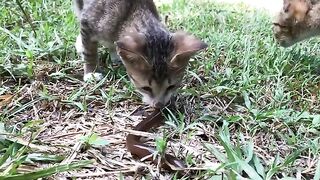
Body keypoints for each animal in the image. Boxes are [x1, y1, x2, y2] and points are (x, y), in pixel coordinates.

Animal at [73, 0, 208, 107]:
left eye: (171, 86)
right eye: (146, 88)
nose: (159, 105)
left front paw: (116, 53)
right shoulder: (87, 23)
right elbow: (89, 51)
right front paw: (91, 72)